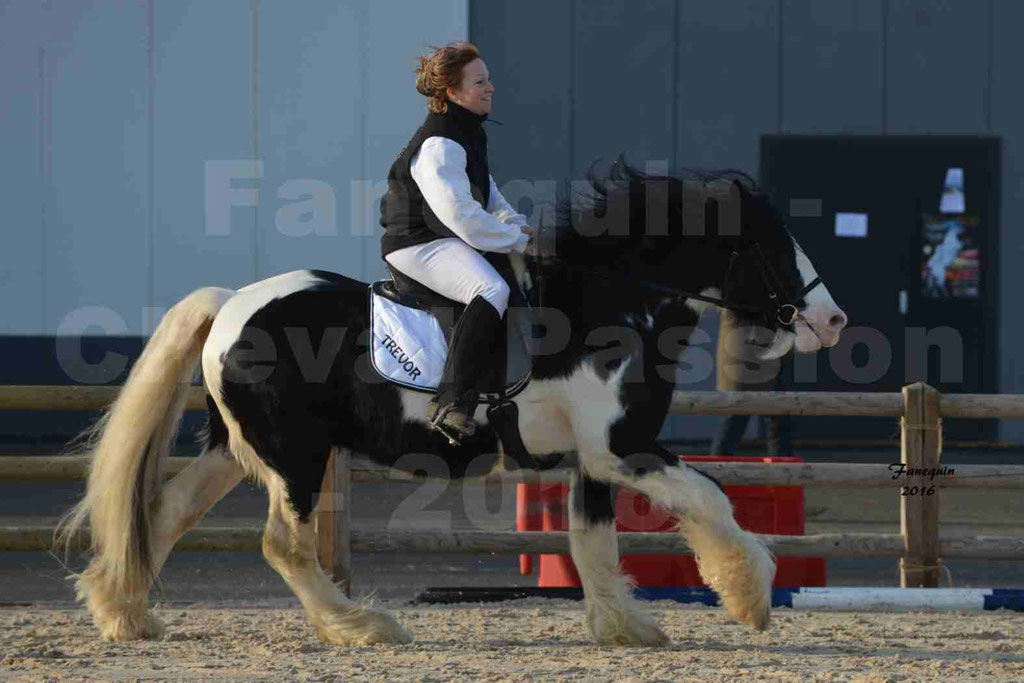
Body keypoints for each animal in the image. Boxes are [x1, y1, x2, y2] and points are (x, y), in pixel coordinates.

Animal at [61, 163, 847, 647]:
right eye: (769, 245)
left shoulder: (594, 461)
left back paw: (122, 613)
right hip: (296, 458)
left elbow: (593, 543)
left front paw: (627, 628)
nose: (833, 320)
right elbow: (712, 498)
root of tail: (230, 304)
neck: (606, 304)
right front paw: (751, 597)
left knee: (165, 512)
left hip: (237, 450)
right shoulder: (625, 452)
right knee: (282, 544)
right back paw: (362, 626)